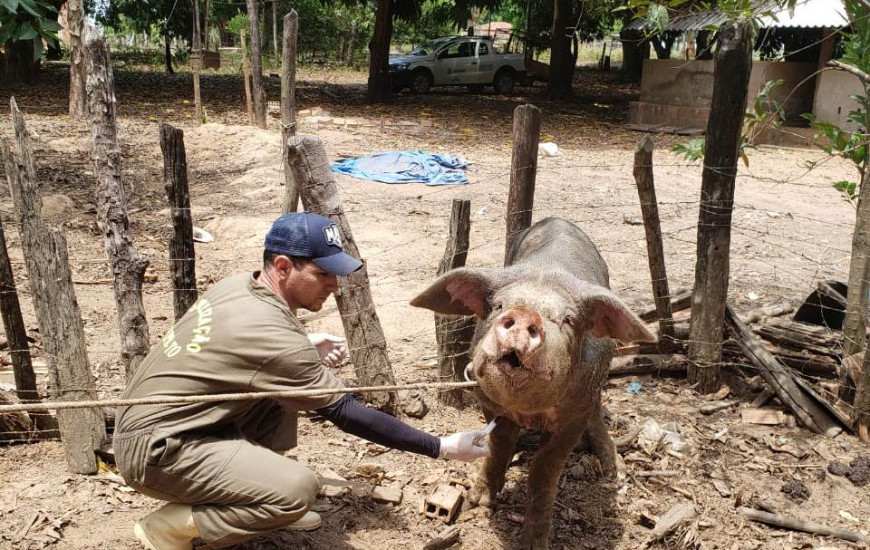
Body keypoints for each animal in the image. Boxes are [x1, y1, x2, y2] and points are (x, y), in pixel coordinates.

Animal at [412, 218, 656, 548]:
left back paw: (611, 468)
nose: (524, 314)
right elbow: (499, 445)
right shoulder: (488, 402)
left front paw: (533, 542)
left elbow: (544, 469)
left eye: (568, 319)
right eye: (499, 305)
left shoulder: (573, 416)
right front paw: (478, 501)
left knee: (597, 410)